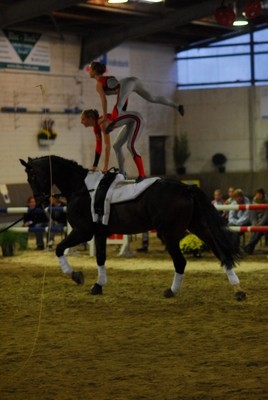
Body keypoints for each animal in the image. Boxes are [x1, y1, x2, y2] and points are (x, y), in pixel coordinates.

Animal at [19, 155, 246, 300]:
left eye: (32, 177)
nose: (39, 202)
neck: (82, 189)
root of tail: (186, 187)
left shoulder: (83, 231)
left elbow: (59, 249)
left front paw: (75, 275)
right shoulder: (99, 233)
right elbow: (100, 257)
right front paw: (98, 285)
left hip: (169, 234)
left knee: (181, 262)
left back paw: (172, 291)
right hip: (198, 226)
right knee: (221, 254)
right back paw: (237, 290)